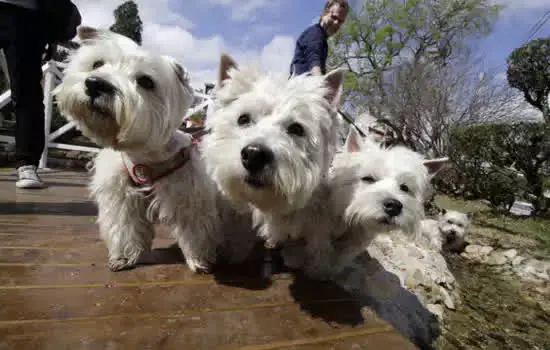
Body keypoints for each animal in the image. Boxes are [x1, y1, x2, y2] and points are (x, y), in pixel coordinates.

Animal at [54, 27, 256, 274]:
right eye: (97, 64)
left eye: (145, 81)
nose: (95, 84)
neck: (144, 156)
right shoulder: (122, 199)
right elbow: (125, 227)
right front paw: (123, 257)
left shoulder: (189, 198)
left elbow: (195, 232)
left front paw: (198, 260)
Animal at [278, 129, 450, 278]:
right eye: (368, 178)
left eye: (405, 188)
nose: (394, 206)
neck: (347, 217)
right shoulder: (319, 225)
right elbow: (320, 248)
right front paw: (313, 268)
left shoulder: (358, 238)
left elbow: (342, 256)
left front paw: (328, 271)